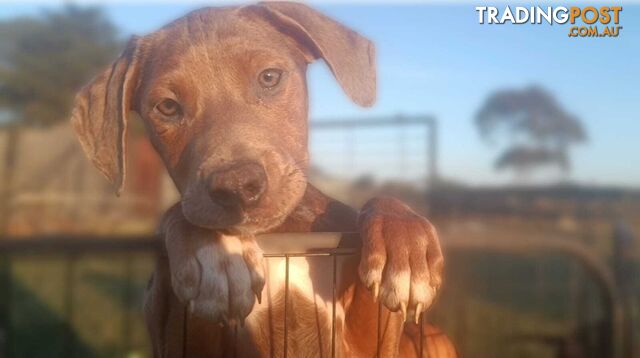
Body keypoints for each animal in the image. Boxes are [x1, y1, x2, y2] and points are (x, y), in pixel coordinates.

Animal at [70, 1, 452, 356]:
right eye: (166, 106)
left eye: (269, 77)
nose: (238, 186)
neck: (281, 232)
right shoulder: (179, 334)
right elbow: (182, 214)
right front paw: (213, 250)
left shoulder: (370, 342)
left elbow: (381, 201)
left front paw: (406, 250)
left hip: (435, 338)